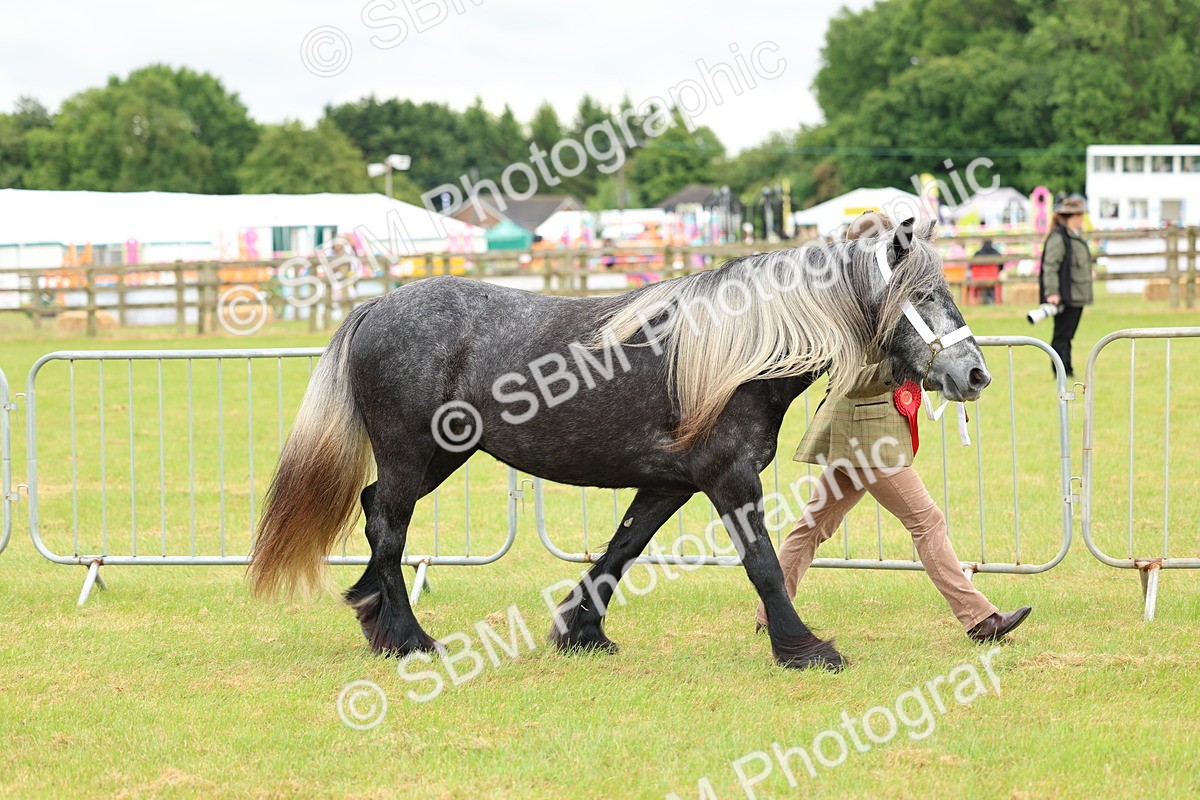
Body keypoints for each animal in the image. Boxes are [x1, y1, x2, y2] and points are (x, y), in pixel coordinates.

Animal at [248, 219, 990, 671]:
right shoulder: (729, 479)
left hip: (439, 457)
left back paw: (374, 616)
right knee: (388, 527)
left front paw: (581, 632)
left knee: (376, 513)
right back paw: (407, 637)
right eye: (927, 294)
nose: (975, 374)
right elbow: (763, 564)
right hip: (412, 457)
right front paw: (803, 648)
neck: (736, 352)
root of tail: (376, 305)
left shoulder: (669, 482)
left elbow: (621, 550)